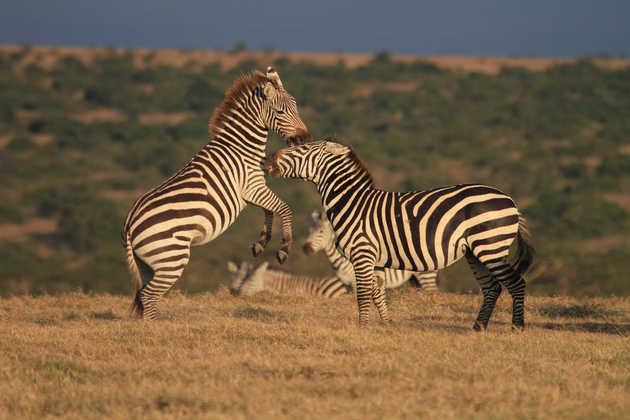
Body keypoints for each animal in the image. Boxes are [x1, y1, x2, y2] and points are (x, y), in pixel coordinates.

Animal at [122, 68, 310, 318]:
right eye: (280, 111)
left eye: (296, 106)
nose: (304, 138)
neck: (242, 147)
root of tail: (130, 225)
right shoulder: (252, 186)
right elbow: (284, 209)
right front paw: (284, 249)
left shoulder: (254, 189)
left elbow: (269, 212)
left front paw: (261, 243)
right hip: (171, 258)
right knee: (148, 295)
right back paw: (157, 326)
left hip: (148, 264)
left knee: (145, 295)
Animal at [306, 210, 440, 292]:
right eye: (309, 231)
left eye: (320, 232)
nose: (305, 248)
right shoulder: (346, 284)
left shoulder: (355, 282)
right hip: (414, 278)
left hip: (426, 275)